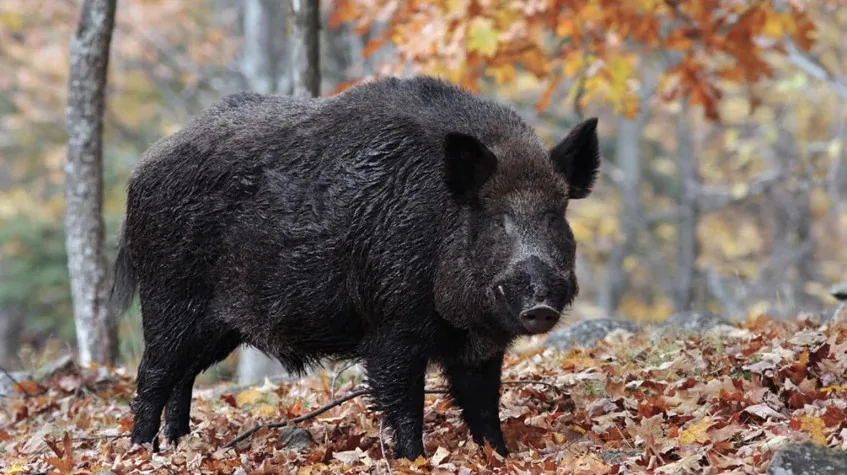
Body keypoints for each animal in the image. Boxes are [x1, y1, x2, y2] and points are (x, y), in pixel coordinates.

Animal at [109, 75, 601, 460]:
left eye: (555, 216)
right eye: (497, 219)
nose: (540, 305)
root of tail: (141, 170)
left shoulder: (478, 347)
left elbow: (483, 406)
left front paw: (500, 456)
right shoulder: (392, 327)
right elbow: (403, 402)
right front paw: (413, 459)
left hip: (216, 327)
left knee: (183, 377)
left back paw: (176, 446)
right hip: (168, 299)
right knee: (152, 376)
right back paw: (141, 452)